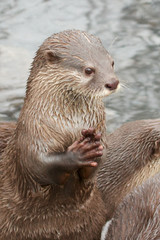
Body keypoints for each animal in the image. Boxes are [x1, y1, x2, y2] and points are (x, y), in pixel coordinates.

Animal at [0, 30, 119, 240]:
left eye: (112, 62)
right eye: (89, 70)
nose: (113, 83)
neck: (70, 125)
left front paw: (96, 150)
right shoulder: (33, 134)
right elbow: (39, 164)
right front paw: (78, 153)